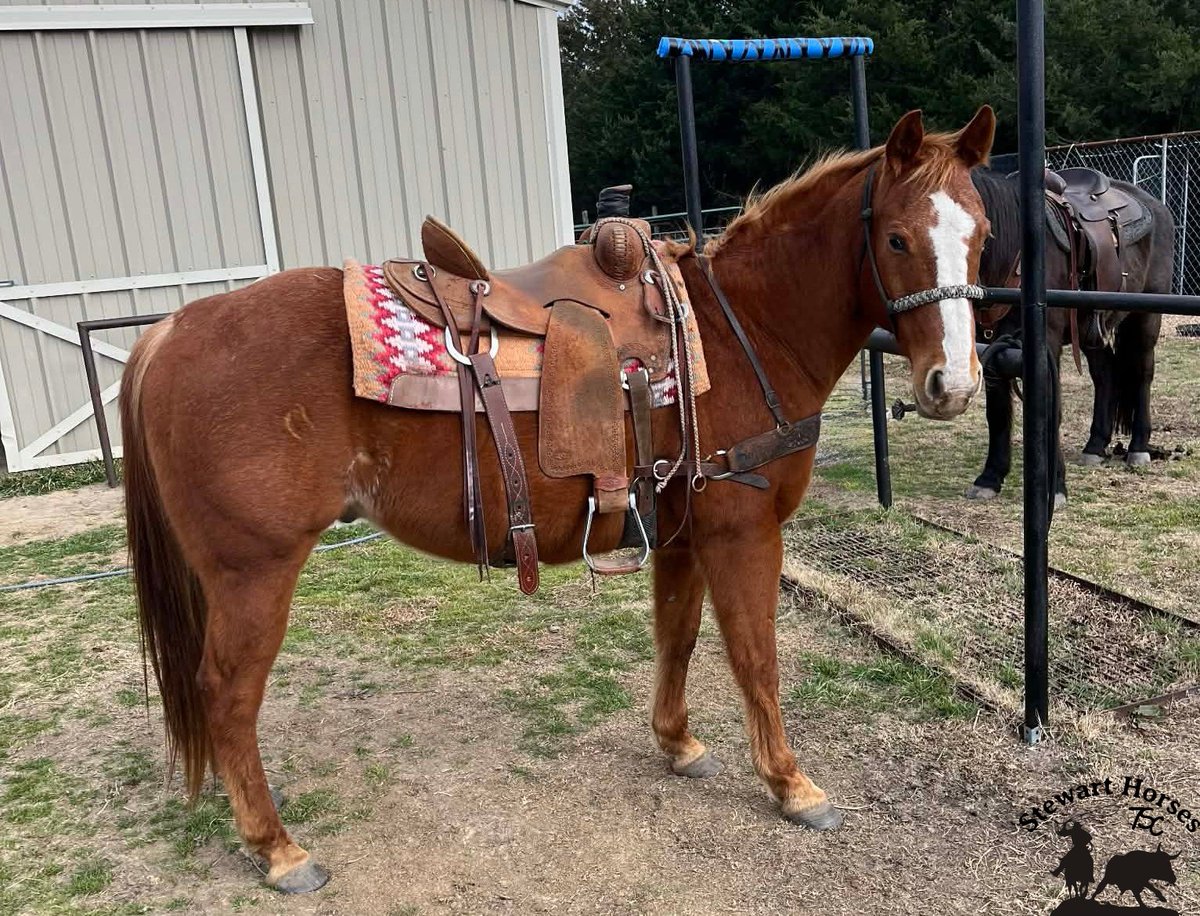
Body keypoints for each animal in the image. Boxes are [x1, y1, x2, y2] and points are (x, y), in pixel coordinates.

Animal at [120, 107, 995, 893]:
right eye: (896, 239)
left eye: (982, 233)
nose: (951, 386)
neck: (739, 332)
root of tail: (167, 332)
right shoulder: (742, 533)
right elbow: (756, 660)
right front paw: (791, 785)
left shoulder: (681, 535)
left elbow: (676, 638)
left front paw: (677, 744)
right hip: (254, 573)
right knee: (228, 696)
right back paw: (277, 849)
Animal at [965, 167, 1175, 506]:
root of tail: (1157, 206)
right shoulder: (992, 346)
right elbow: (996, 412)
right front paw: (989, 478)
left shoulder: (1045, 346)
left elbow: (1050, 409)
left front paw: (1056, 488)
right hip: (1092, 330)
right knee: (1105, 376)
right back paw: (1095, 446)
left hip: (1145, 319)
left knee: (1143, 374)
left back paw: (1139, 449)